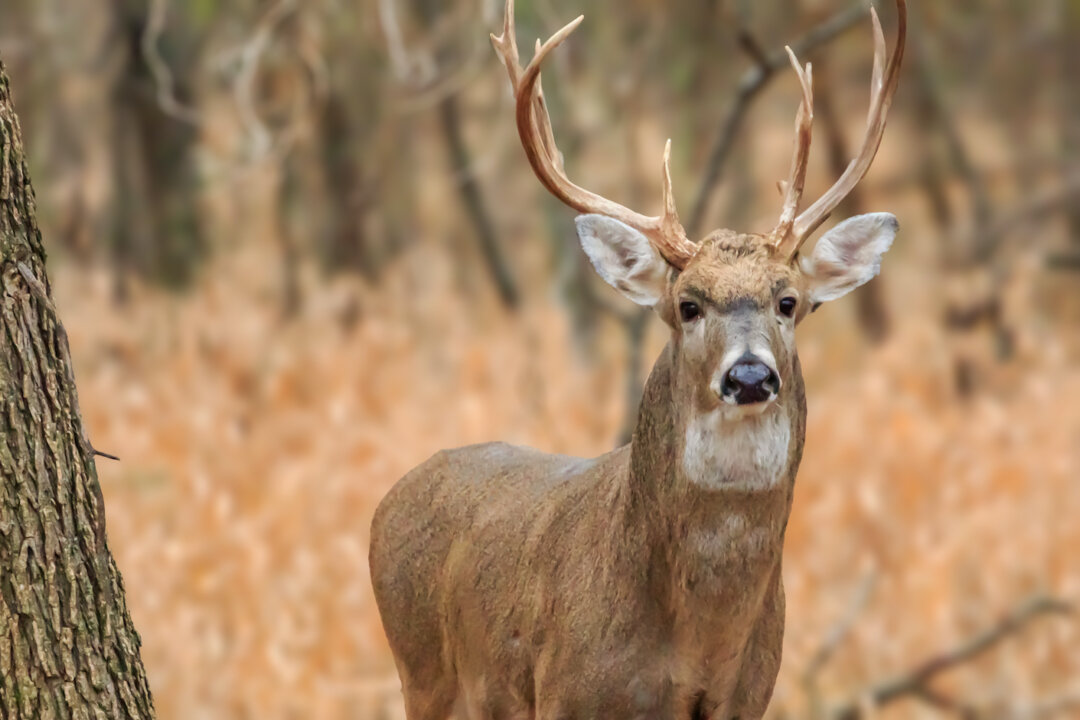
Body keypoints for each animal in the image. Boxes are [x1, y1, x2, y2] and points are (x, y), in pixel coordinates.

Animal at [370, 1, 906, 717]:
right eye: (688, 304)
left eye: (789, 301)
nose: (750, 375)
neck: (699, 645)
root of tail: (391, 499)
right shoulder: (568, 693)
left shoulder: (751, 695)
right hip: (424, 674)